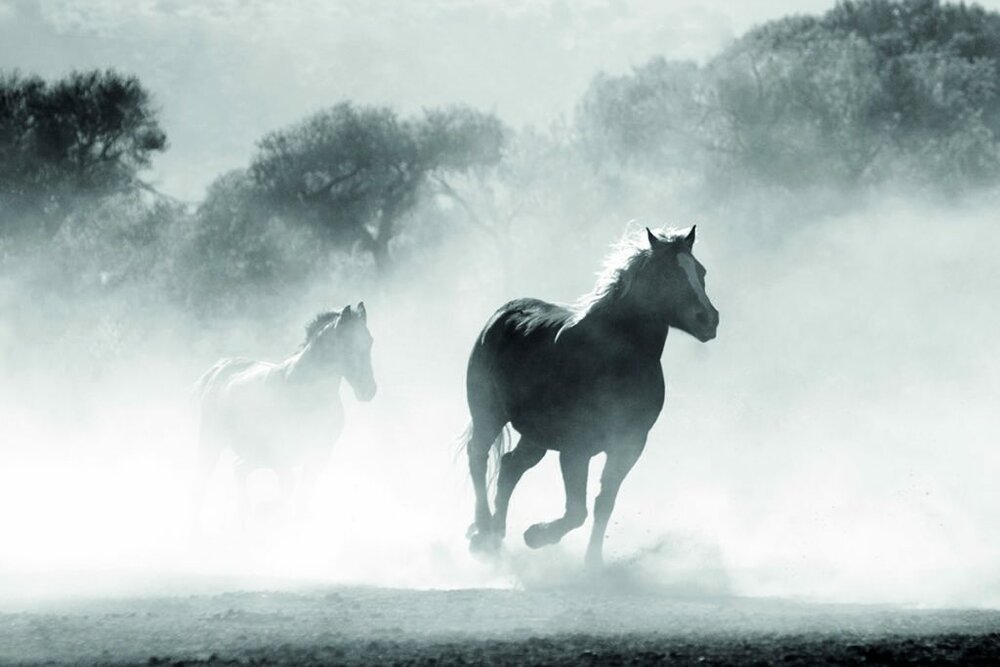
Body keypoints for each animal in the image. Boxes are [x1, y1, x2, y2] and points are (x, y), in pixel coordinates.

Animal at [193, 303, 376, 526]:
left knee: (239, 471)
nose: (369, 390)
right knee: (202, 482)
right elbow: (288, 487)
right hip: (212, 442)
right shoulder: (279, 454)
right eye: (347, 344)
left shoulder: (318, 456)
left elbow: (301, 498)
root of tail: (220, 368)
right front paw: (267, 509)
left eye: (369, 341)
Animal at [462, 226, 718, 567]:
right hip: (488, 414)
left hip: (536, 436)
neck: (614, 359)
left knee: (509, 467)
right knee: (478, 456)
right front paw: (536, 535)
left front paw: (592, 562)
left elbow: (603, 503)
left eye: (700, 271)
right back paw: (482, 532)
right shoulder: (576, 449)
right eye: (667, 274)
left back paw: (496, 535)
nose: (709, 319)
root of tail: (502, 314)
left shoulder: (628, 445)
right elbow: (576, 511)